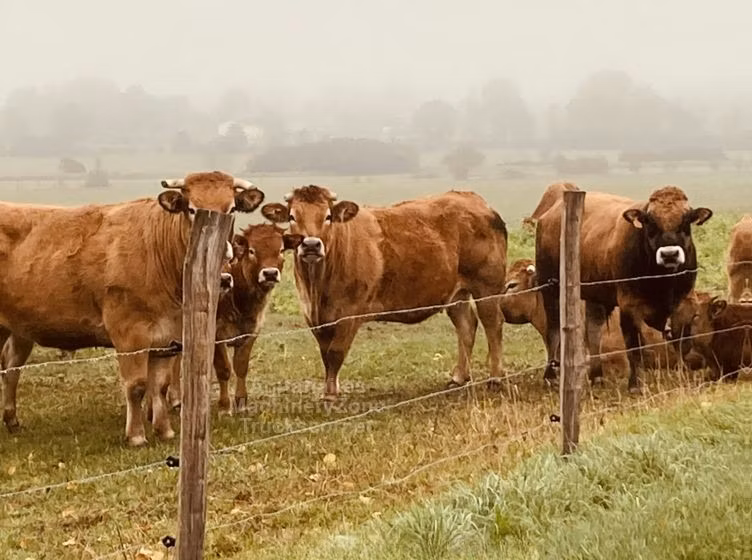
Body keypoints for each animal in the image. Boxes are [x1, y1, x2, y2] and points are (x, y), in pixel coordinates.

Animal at [0, 171, 264, 445]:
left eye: (231, 209)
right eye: (191, 209)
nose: (224, 272)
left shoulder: (166, 338)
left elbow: (160, 385)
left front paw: (164, 430)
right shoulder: (129, 335)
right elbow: (137, 386)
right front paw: (136, 435)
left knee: (11, 366)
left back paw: (12, 420)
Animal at [260, 186, 508, 399]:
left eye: (328, 216)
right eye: (293, 217)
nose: (311, 245)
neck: (317, 288)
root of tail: (477, 201)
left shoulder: (349, 314)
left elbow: (335, 353)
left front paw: (331, 395)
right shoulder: (315, 318)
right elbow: (325, 355)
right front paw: (329, 389)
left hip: (486, 286)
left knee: (492, 324)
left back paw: (495, 378)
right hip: (456, 294)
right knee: (466, 327)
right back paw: (458, 377)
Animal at [535, 182, 712, 393]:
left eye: (686, 220)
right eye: (649, 222)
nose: (669, 254)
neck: (663, 281)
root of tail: (550, 213)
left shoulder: (685, 302)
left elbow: (682, 341)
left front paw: (683, 375)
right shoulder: (629, 306)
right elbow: (634, 347)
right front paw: (635, 385)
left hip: (596, 295)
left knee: (593, 330)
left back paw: (597, 375)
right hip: (551, 288)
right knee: (553, 332)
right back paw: (551, 376)